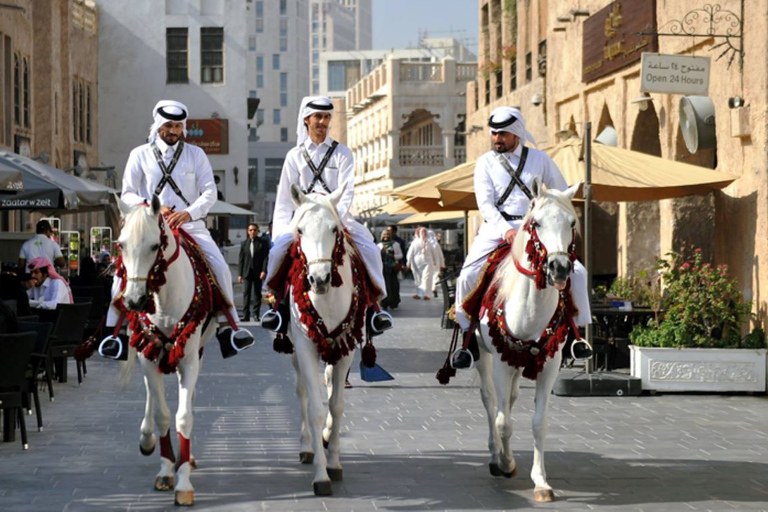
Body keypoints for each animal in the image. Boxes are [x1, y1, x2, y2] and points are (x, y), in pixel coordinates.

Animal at [115, 195, 216, 504]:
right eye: (121, 245)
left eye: (154, 246)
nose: (134, 301)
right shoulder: (148, 355)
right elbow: (162, 415)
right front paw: (166, 470)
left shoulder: (190, 359)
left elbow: (184, 417)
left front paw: (183, 480)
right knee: (151, 395)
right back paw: (147, 438)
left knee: (188, 398)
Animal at [284, 182, 362, 494]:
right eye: (300, 229)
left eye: (334, 229)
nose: (319, 279)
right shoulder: (306, 348)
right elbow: (316, 407)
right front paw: (320, 474)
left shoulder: (345, 350)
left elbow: (337, 406)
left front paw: (335, 463)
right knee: (302, 393)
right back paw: (307, 446)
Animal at [472, 178, 580, 502]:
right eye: (537, 223)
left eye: (572, 222)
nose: (559, 267)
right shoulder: (501, 363)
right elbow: (504, 421)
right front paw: (506, 463)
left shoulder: (550, 364)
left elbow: (538, 423)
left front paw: (541, 481)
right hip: (485, 356)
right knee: (491, 401)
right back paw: (495, 456)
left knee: (508, 399)